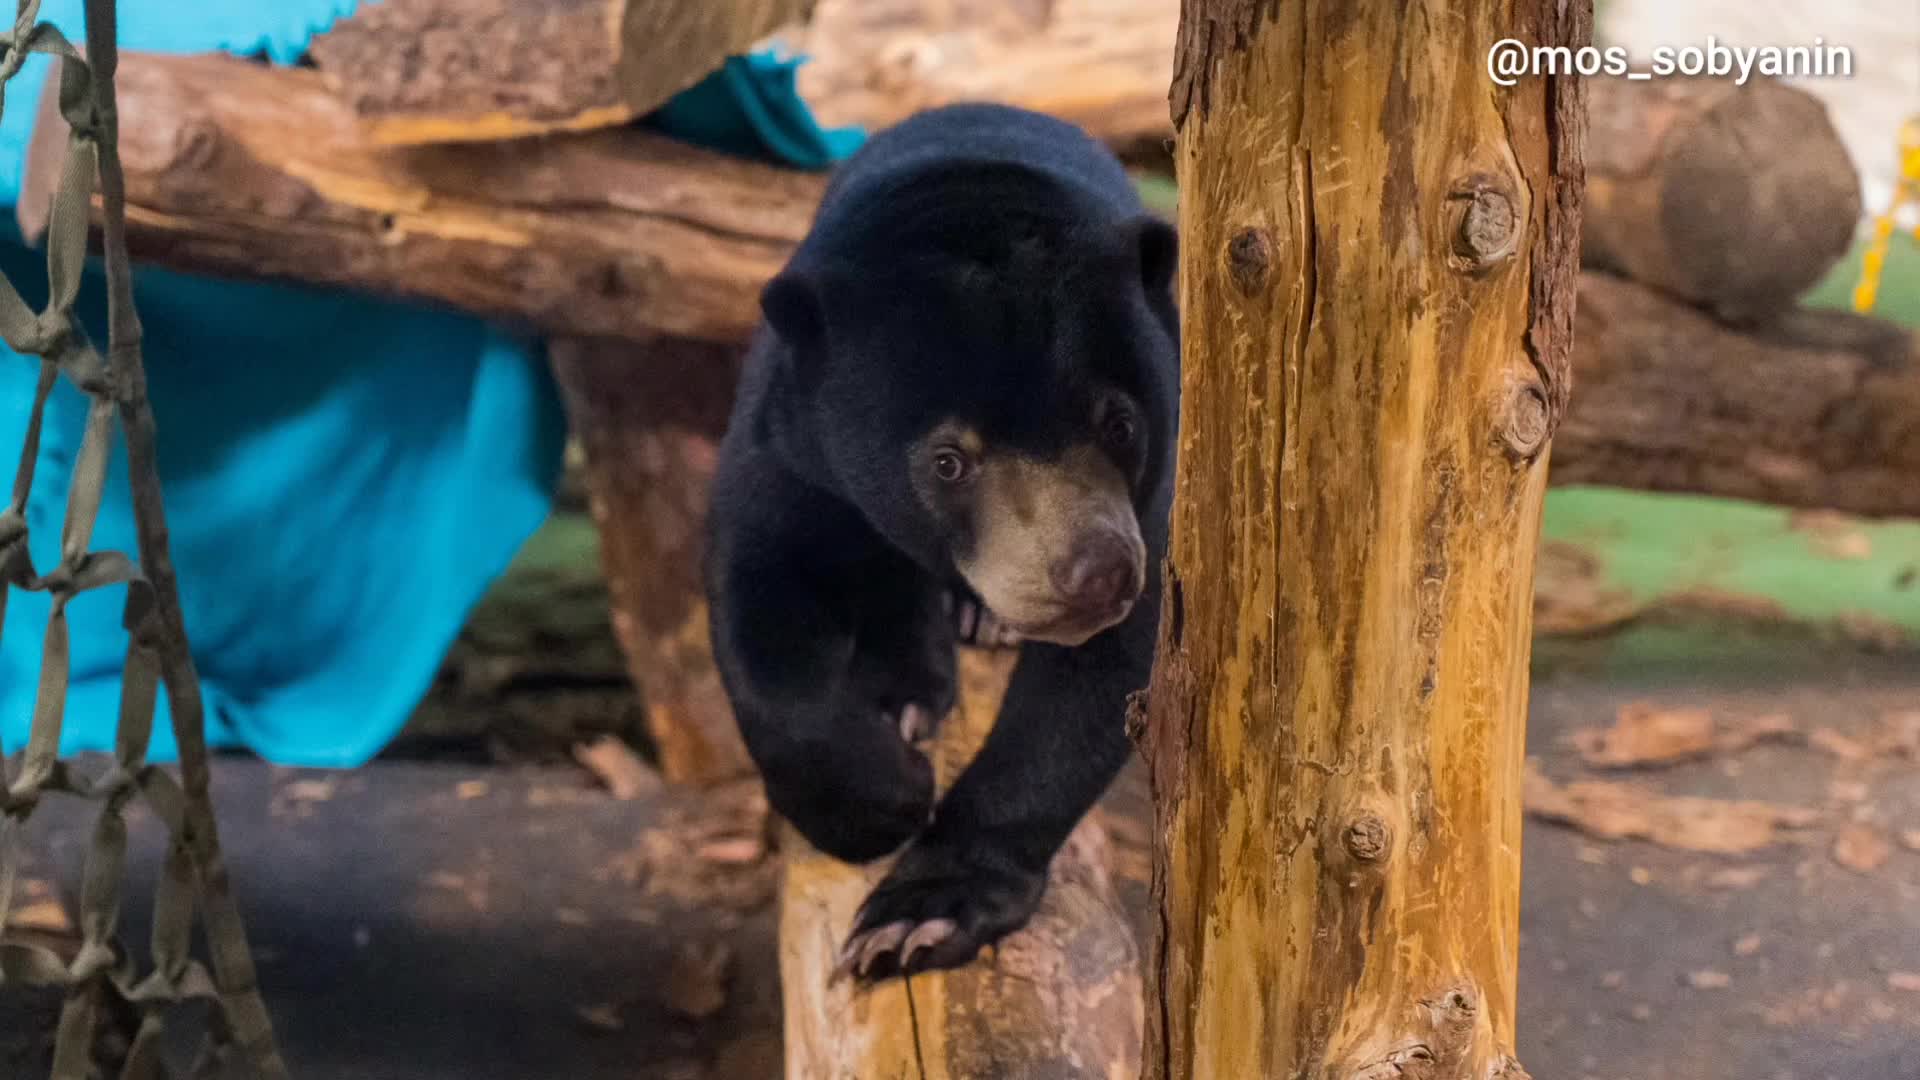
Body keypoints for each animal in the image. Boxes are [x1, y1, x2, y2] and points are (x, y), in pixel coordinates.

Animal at [706, 105, 1175, 980]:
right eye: (948, 460)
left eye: (1119, 422)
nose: (1097, 571)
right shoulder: (790, 440)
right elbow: (760, 591)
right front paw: (883, 800)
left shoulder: (1156, 499)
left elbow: (1089, 689)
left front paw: (914, 919)